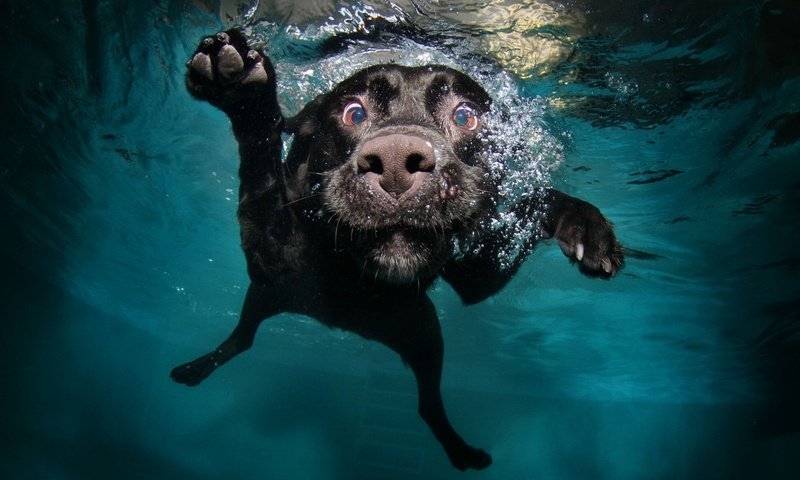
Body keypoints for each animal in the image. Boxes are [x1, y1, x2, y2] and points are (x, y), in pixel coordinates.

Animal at [170, 29, 624, 468]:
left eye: (465, 116)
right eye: (354, 113)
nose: (393, 162)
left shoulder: (478, 275)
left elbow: (535, 201)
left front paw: (585, 225)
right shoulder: (270, 252)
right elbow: (261, 172)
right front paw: (242, 89)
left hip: (423, 334)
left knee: (427, 405)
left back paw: (462, 452)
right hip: (267, 296)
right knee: (243, 339)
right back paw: (195, 369)